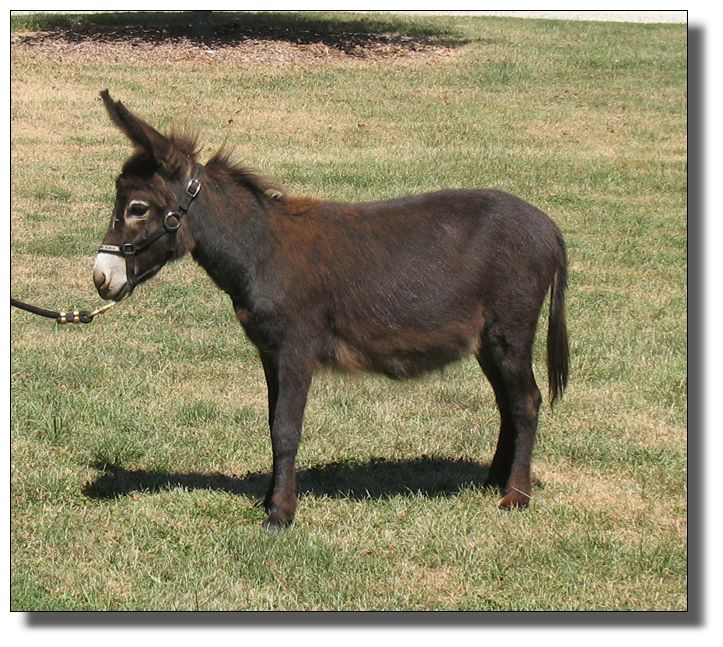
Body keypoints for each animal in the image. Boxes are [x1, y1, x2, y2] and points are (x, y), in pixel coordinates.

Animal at [93, 90, 569, 530]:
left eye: (137, 208)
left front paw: (280, 514)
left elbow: (286, 428)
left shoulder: (296, 349)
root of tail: (548, 227)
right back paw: (493, 481)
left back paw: (515, 496)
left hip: (511, 328)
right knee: (507, 402)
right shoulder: (269, 352)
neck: (261, 251)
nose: (99, 277)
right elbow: (273, 423)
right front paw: (269, 499)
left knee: (525, 401)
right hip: (486, 339)